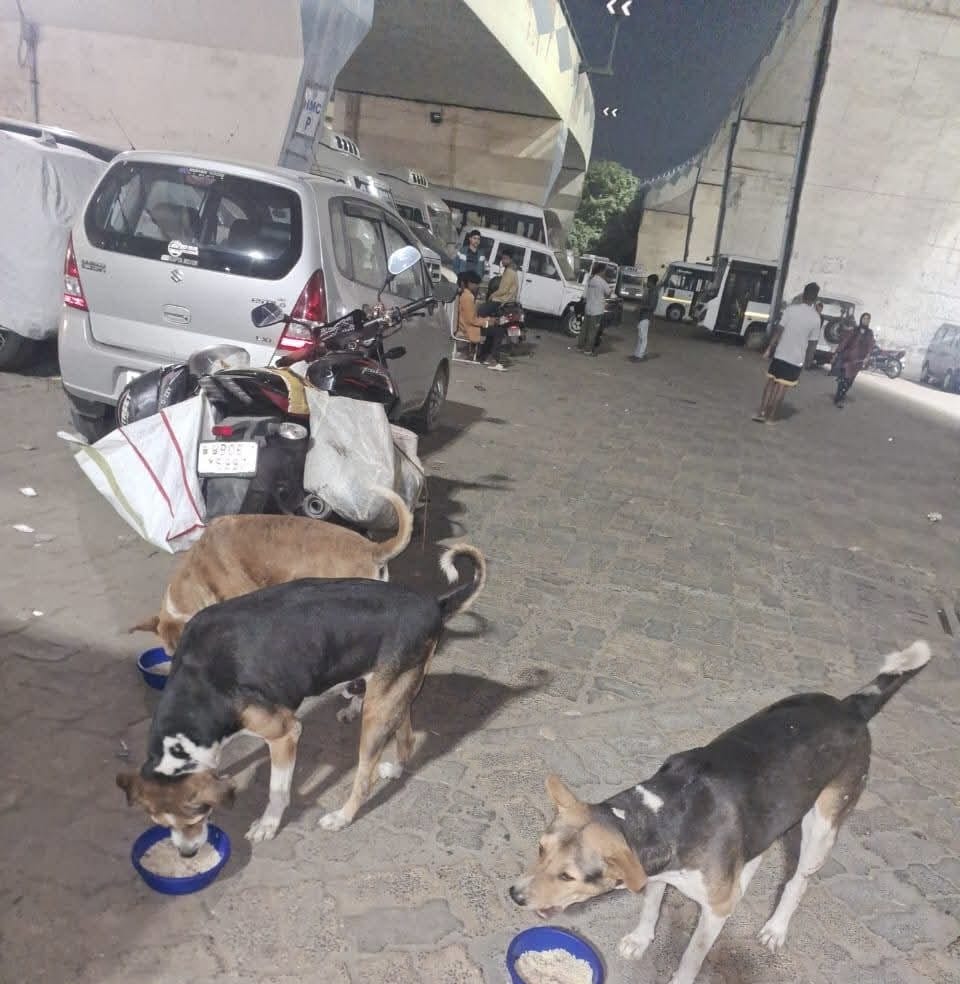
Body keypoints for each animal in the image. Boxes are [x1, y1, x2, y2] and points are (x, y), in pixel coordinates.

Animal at [117, 544, 485, 850]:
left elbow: (277, 790)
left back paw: (342, 816)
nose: (188, 853)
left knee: (364, 779)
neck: (197, 684)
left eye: (198, 816)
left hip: (376, 712)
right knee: (406, 735)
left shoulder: (285, 734)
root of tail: (433, 604)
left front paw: (268, 824)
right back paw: (394, 767)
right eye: (161, 823)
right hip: (393, 694)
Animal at [510, 641, 931, 984]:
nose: (514, 896)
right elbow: (650, 907)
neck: (660, 813)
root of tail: (850, 707)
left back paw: (777, 927)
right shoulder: (658, 872)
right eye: (540, 849)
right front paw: (641, 939)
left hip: (822, 827)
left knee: (797, 881)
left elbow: (693, 957)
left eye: (568, 876)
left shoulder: (711, 910)